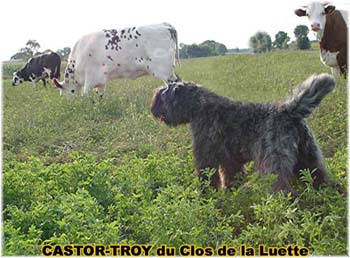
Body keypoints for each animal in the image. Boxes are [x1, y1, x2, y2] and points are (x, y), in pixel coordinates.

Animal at [150, 73, 336, 195]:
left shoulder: (206, 157)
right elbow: (231, 177)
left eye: (163, 93)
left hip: (273, 166)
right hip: (310, 159)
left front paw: (206, 198)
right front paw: (230, 193)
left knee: (283, 190)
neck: (199, 107)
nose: (153, 107)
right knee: (323, 179)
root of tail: (289, 111)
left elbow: (207, 177)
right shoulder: (230, 161)